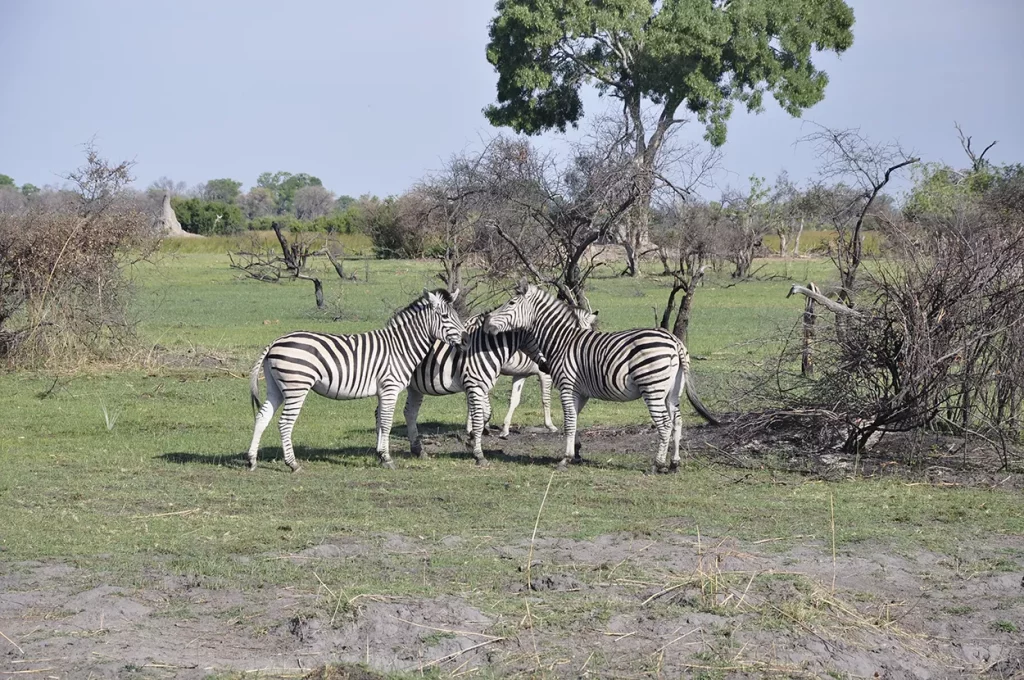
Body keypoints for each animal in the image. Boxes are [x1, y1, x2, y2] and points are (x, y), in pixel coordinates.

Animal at [247, 288, 468, 473]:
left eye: (457, 316)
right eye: (445, 317)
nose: (466, 340)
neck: (400, 346)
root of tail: (275, 341)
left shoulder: (382, 390)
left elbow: (380, 421)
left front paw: (380, 455)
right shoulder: (390, 387)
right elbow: (386, 422)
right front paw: (387, 459)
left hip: (276, 388)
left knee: (262, 417)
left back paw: (252, 460)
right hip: (296, 387)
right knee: (285, 423)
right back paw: (293, 464)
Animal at [399, 305, 593, 464]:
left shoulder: (520, 374)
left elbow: (513, 400)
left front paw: (503, 430)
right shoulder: (543, 374)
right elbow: (545, 399)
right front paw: (550, 425)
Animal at [481, 280, 716, 473]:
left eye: (511, 302)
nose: (486, 322)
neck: (562, 340)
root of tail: (675, 341)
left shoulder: (567, 386)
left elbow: (568, 422)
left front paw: (565, 459)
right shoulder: (581, 392)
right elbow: (574, 419)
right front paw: (576, 453)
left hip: (653, 387)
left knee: (665, 424)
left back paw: (657, 465)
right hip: (673, 390)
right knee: (678, 422)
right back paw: (674, 463)